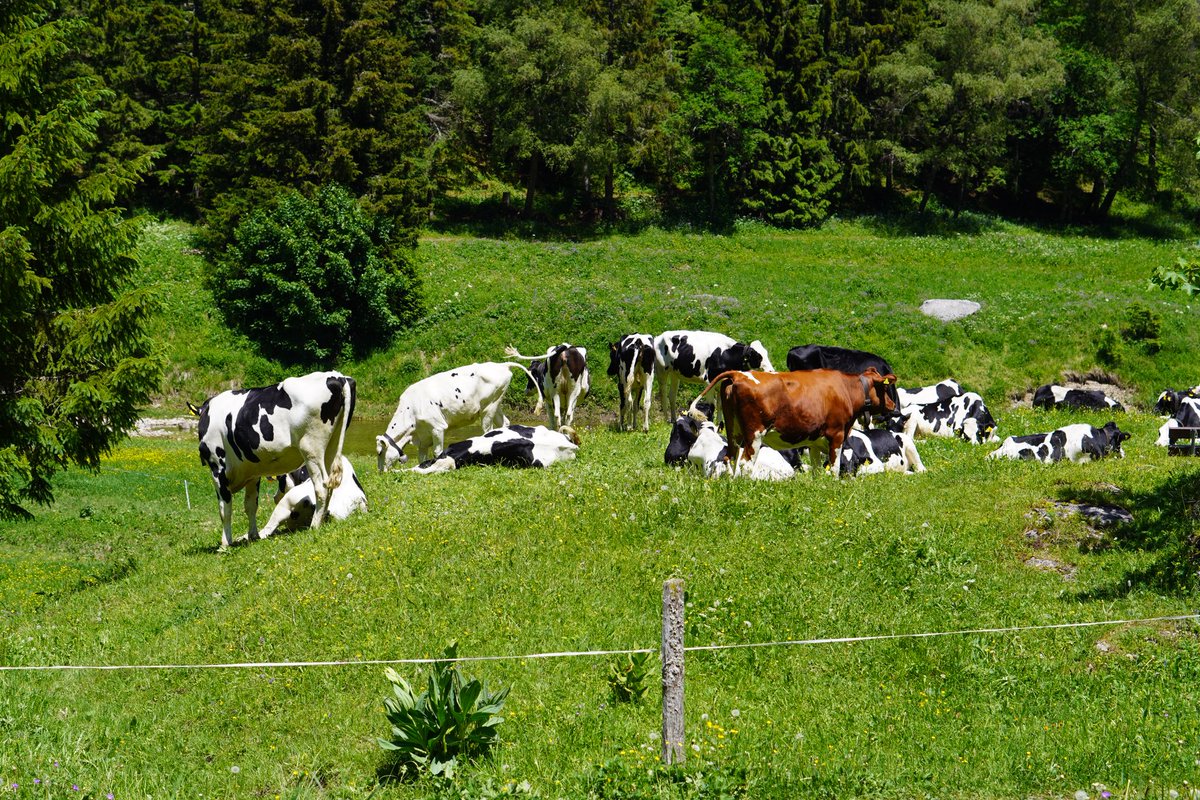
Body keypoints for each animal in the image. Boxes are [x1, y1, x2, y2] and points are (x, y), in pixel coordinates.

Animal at [196, 371, 356, 549]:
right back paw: (320, 521)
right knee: (329, 487)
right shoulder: (252, 473)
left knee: (321, 487)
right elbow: (251, 505)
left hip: (311, 448)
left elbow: (225, 509)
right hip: (331, 447)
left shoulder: (218, 469)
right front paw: (253, 536)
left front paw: (225, 545)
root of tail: (338, 376)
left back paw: (314, 526)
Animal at [376, 362, 543, 471]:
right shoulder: (423, 437)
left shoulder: (437, 427)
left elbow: (438, 452)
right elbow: (421, 456)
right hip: (496, 404)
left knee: (488, 429)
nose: (380, 472)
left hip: (488, 407)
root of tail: (501, 364)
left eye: (380, 452)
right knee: (504, 423)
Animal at [690, 367, 899, 474]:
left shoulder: (815, 442)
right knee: (745, 463)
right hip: (754, 434)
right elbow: (833, 468)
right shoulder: (837, 435)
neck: (846, 389)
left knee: (730, 458)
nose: (892, 406)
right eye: (884, 387)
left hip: (734, 431)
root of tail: (738, 373)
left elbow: (817, 469)